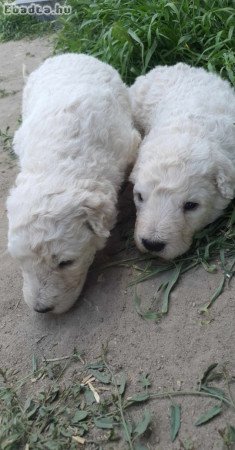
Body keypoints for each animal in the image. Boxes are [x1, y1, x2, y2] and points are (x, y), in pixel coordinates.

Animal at [6, 53, 140, 312]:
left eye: (66, 262)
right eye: (19, 260)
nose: (41, 309)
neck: (58, 164)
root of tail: (66, 54)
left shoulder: (129, 144)